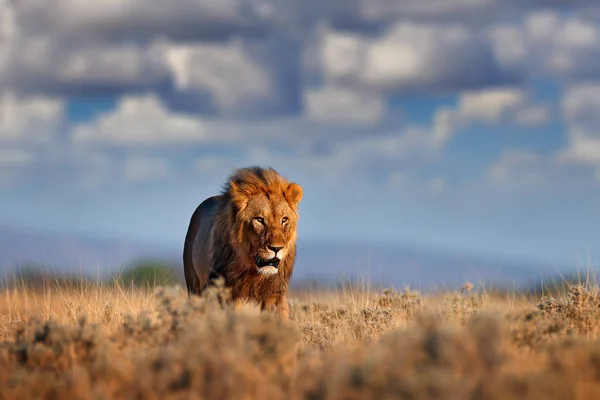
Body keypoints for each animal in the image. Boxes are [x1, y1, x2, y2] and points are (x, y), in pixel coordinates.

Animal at [182, 165, 304, 318]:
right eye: (259, 219)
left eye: (284, 219)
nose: (276, 248)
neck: (253, 269)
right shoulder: (230, 290)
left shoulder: (274, 290)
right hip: (194, 284)